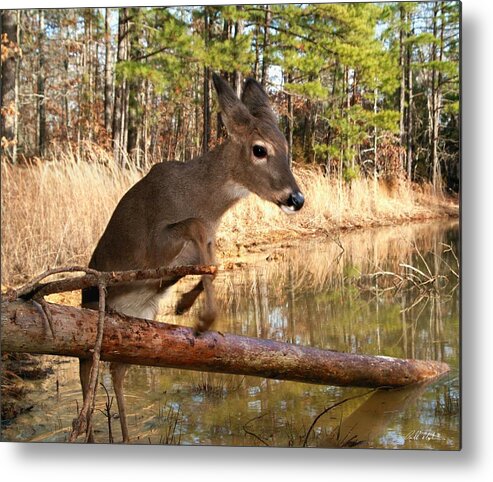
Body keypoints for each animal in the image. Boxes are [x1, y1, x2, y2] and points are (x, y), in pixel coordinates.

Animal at [80, 73, 304, 442]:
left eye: (288, 149)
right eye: (260, 149)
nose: (296, 198)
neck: (202, 197)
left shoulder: (202, 244)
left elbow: (213, 261)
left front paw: (186, 305)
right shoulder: (153, 244)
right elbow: (197, 232)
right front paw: (202, 318)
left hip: (131, 333)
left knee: (116, 373)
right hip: (93, 317)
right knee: (88, 380)